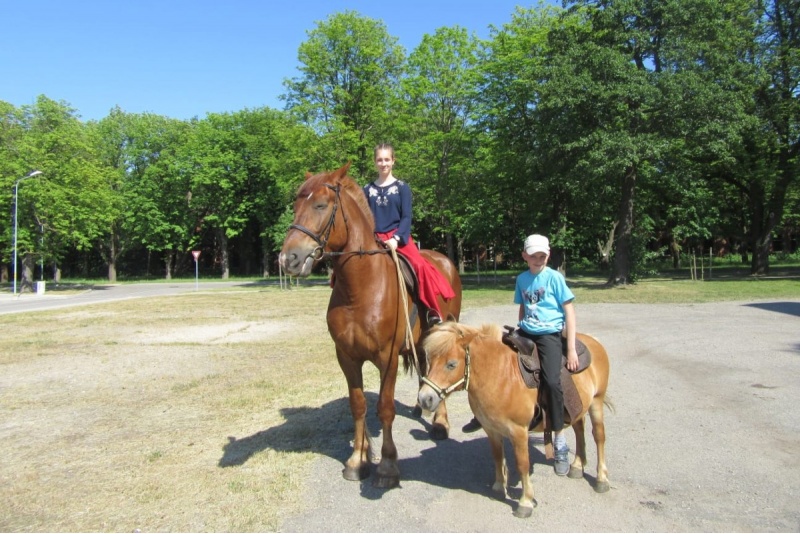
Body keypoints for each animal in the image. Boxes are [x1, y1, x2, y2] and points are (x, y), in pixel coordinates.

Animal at [280, 162, 462, 490]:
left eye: (320, 205)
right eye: (296, 205)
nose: (289, 258)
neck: (360, 288)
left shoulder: (387, 359)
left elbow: (385, 408)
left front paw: (387, 466)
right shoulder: (347, 357)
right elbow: (358, 405)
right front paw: (358, 459)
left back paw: (440, 423)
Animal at [418, 322, 612, 520]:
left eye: (451, 364)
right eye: (429, 360)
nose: (425, 399)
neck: (499, 375)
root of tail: (593, 341)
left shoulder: (518, 431)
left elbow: (522, 464)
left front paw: (525, 502)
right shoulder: (491, 429)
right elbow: (497, 457)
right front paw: (498, 487)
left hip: (596, 402)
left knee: (599, 437)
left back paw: (601, 479)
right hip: (579, 408)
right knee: (579, 430)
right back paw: (577, 466)